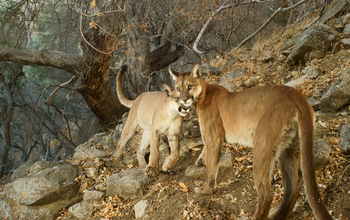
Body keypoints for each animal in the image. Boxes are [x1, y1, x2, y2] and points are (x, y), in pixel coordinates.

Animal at [170, 62, 334, 219]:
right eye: (178, 88)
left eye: (189, 86)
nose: (183, 99)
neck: (204, 93)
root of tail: (296, 95)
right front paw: (200, 160)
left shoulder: (213, 138)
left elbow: (211, 168)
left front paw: (205, 190)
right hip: (289, 149)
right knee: (292, 191)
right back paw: (275, 216)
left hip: (262, 147)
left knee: (266, 196)